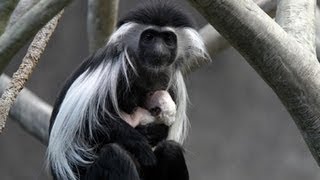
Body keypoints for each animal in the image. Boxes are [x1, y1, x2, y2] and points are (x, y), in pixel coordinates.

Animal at [47, 0, 210, 179]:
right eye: (149, 37)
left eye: (168, 38)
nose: (158, 50)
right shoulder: (116, 68)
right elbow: (90, 125)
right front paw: (141, 142)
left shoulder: (173, 83)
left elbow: (165, 130)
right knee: (114, 154)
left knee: (171, 150)